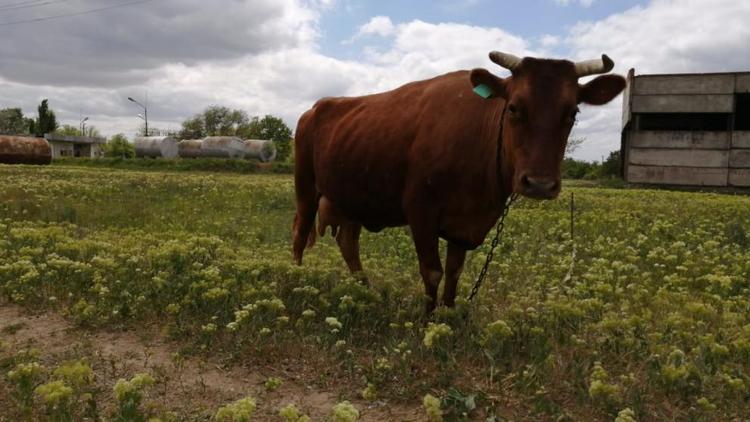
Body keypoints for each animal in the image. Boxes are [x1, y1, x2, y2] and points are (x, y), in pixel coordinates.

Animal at [294, 51, 628, 312]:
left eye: (572, 112)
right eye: (513, 108)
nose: (540, 184)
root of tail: (314, 108)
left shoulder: (466, 224)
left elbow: (454, 272)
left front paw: (448, 315)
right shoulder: (421, 211)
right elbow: (432, 271)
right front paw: (427, 319)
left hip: (353, 198)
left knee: (348, 243)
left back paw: (365, 290)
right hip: (306, 188)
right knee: (299, 235)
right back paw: (295, 280)